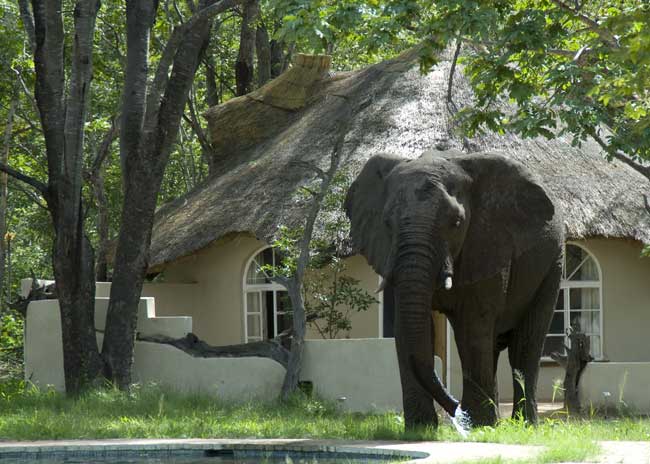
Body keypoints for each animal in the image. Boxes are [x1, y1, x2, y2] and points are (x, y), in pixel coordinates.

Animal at [344, 149, 560, 428]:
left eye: (457, 222)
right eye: (387, 223)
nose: (457, 411)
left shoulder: (488, 242)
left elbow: (473, 327)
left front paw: (478, 425)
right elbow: (408, 330)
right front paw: (420, 427)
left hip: (554, 261)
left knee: (524, 347)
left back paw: (523, 424)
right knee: (494, 346)